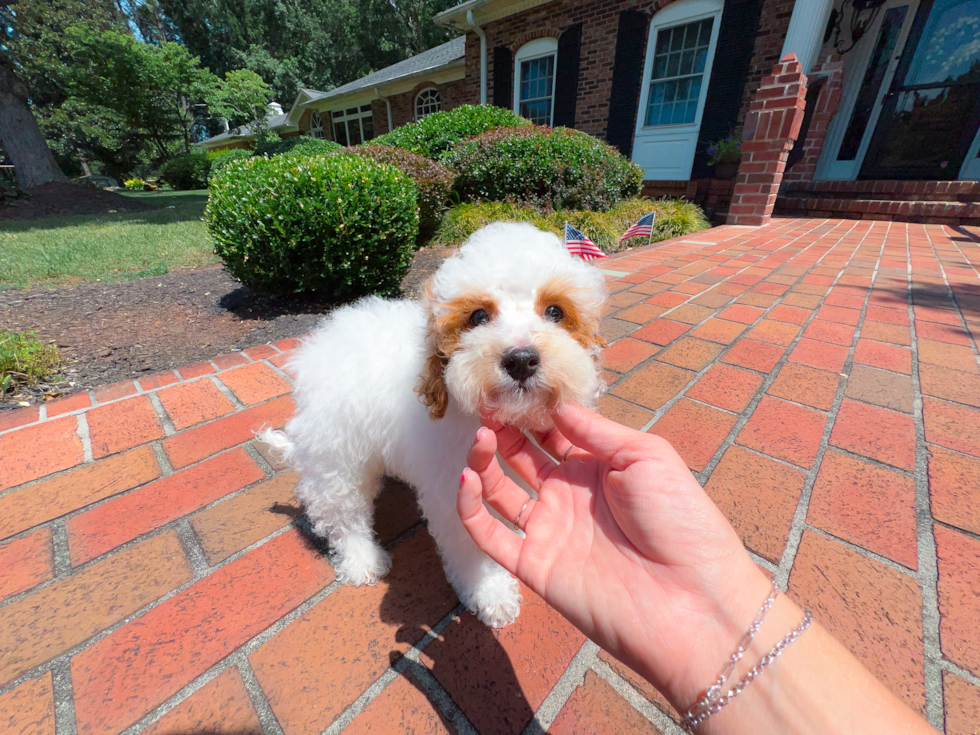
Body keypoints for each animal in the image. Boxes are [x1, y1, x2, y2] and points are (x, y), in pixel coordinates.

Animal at [264, 223, 608, 628]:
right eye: (478, 317)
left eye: (555, 311)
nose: (521, 359)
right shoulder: (457, 491)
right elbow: (473, 545)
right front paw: (490, 592)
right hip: (336, 452)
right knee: (339, 511)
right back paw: (361, 558)